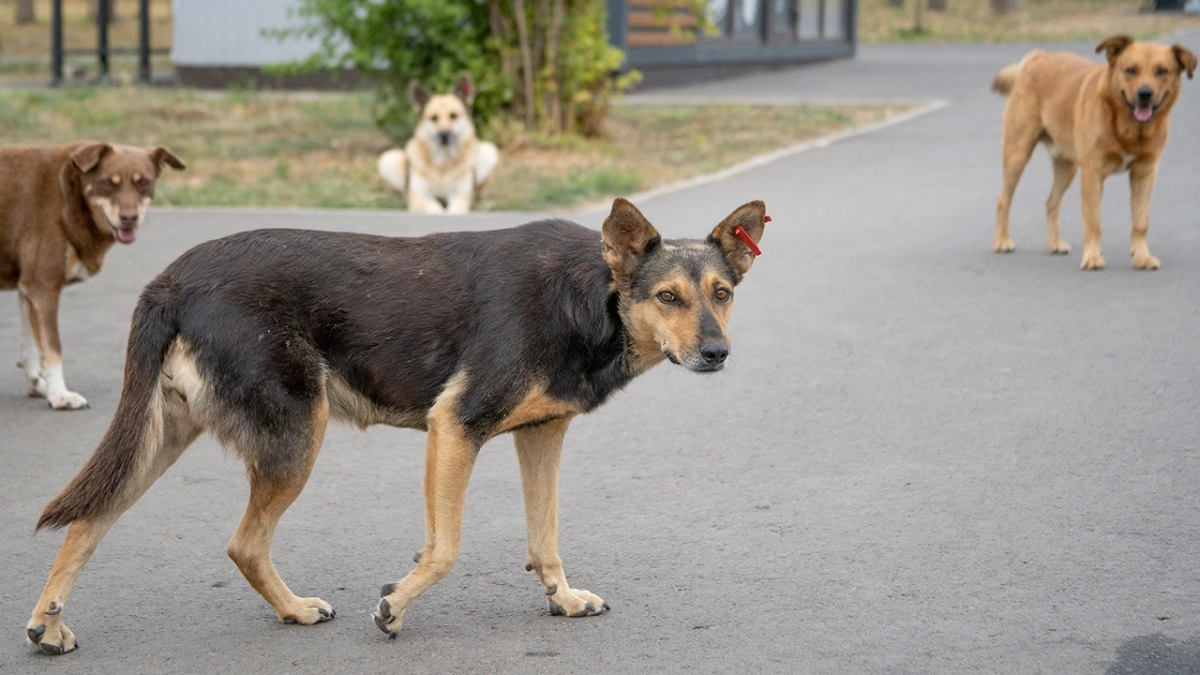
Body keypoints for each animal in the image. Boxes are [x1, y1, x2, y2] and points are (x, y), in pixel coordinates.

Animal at [0, 141, 184, 408]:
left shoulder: (28, 288)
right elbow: (53, 349)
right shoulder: (43, 287)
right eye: (109, 182)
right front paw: (60, 394)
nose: (129, 218)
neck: (68, 194)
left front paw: (39, 385)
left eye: (143, 182)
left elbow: (31, 347)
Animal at [25, 195, 768, 653]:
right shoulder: (455, 426)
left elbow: (544, 537)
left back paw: (47, 625)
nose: (717, 353)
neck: (591, 295)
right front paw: (395, 606)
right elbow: (445, 547)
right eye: (667, 296)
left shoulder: (540, 436)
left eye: (723, 294)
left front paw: (562, 599)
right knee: (243, 544)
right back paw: (294, 609)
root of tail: (171, 279)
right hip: (298, 432)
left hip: (164, 435)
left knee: (90, 519)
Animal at [379, 73, 501, 211]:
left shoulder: (460, 196)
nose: (444, 135)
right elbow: (435, 208)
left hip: (489, 151)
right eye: (434, 118)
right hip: (389, 159)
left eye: (453, 116)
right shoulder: (420, 197)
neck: (443, 165)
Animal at [988, 36, 1195, 267]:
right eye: (1131, 70)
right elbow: (1093, 222)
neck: (1128, 129)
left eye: (1162, 71)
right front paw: (1093, 257)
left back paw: (1055, 243)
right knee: (1003, 199)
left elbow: (1141, 222)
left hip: (1067, 167)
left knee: (1051, 202)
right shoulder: (1093, 174)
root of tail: (1038, 56)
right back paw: (1002, 241)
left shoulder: (1144, 174)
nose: (1145, 94)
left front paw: (1142, 257)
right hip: (1018, 154)